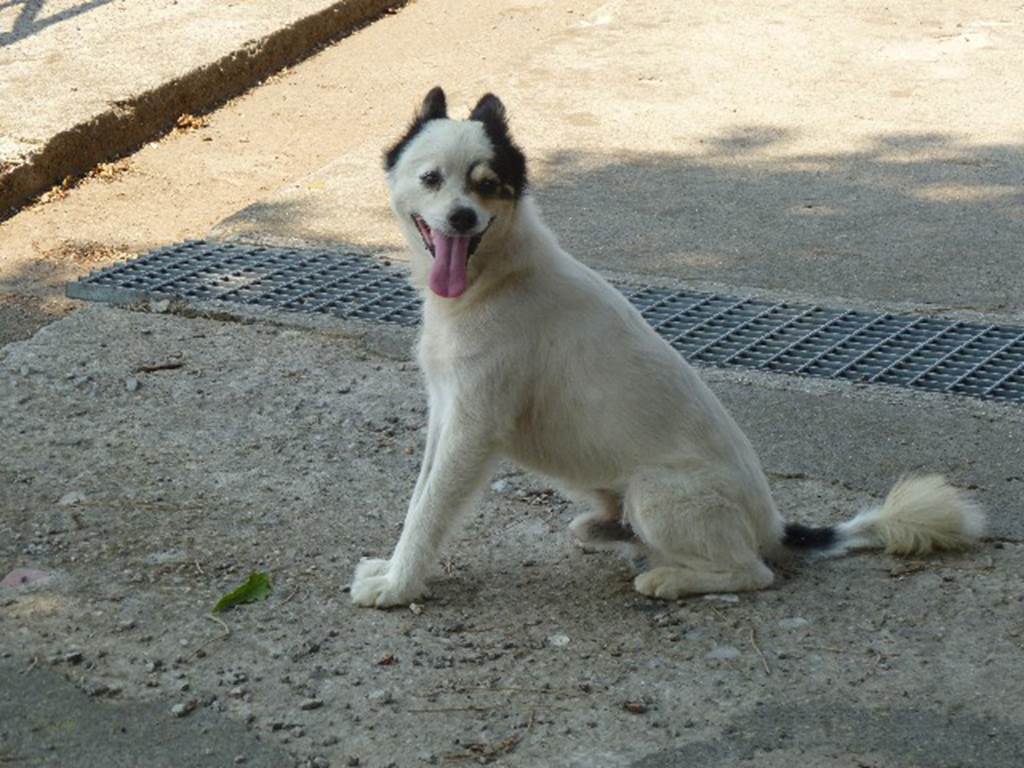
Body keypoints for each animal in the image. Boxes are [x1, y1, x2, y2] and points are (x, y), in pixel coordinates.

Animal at [350, 87, 983, 610]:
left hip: (655, 491)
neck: (496, 277)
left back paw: (670, 578)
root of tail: (773, 524)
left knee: (752, 572)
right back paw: (613, 535)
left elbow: (430, 511)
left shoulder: (473, 429)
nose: (461, 218)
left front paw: (400, 585)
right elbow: (418, 499)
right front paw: (394, 571)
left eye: (487, 185)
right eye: (432, 179)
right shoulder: (446, 412)